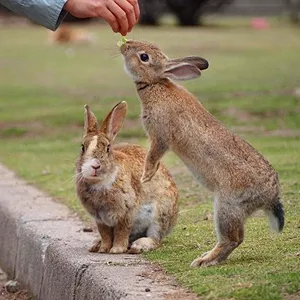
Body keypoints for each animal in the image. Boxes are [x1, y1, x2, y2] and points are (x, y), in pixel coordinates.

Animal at [75, 102, 178, 254]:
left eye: (108, 148)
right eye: (82, 147)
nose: (95, 165)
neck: (100, 182)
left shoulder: (126, 212)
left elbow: (122, 231)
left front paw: (116, 249)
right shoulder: (100, 219)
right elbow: (105, 234)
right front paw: (104, 248)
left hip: (160, 213)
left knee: (155, 239)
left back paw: (138, 246)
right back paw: (96, 245)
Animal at [119, 39, 284, 268]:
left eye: (144, 57)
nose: (124, 46)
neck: (156, 84)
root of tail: (270, 196)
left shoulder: (160, 136)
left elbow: (154, 155)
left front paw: (146, 175)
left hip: (227, 206)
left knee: (233, 239)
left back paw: (203, 261)